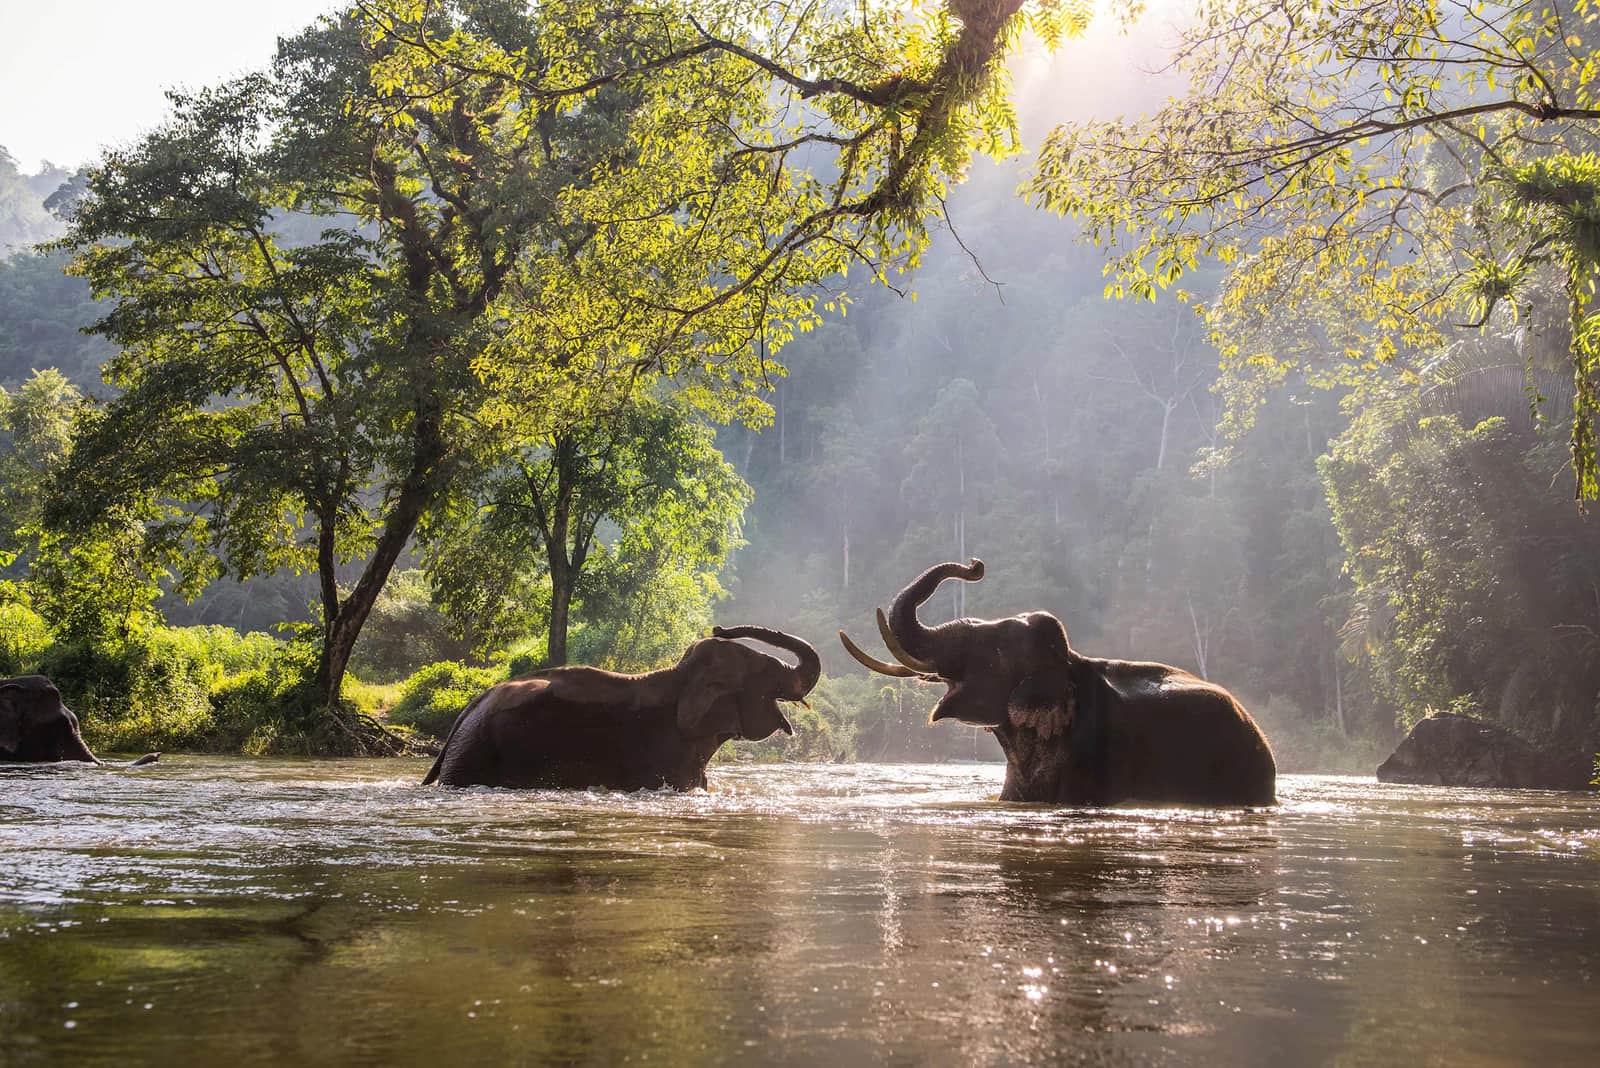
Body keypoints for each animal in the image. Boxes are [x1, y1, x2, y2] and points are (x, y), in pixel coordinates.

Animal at [423, 625, 821, 790]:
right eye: (766, 672)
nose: (720, 627)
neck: (680, 676)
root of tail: (468, 709)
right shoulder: (660, 751)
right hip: (475, 754)